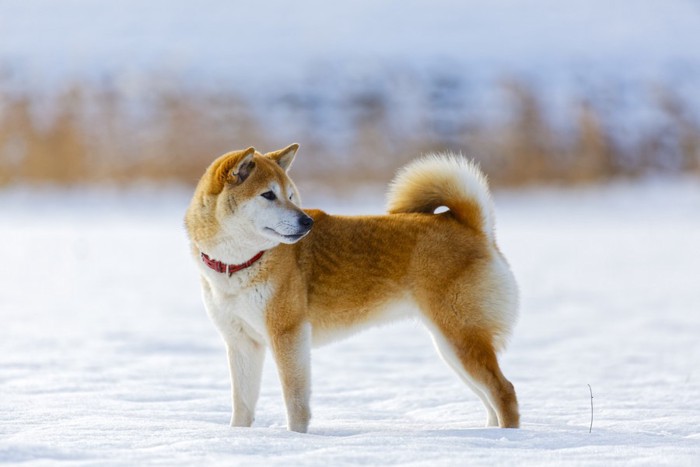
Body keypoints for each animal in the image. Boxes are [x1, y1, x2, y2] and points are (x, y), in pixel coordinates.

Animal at [186, 144, 520, 434]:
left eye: (291, 195)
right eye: (268, 195)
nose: (306, 222)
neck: (240, 263)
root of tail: (472, 228)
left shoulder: (288, 335)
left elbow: (295, 400)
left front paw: (295, 438)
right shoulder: (242, 342)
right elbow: (242, 405)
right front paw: (239, 437)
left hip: (459, 338)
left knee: (504, 391)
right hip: (450, 346)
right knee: (490, 398)